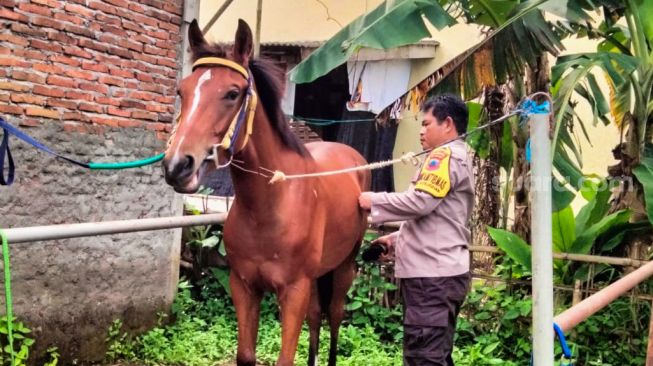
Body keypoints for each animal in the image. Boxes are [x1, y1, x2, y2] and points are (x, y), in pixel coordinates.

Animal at [162, 20, 370, 366]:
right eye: (182, 91)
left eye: (232, 93)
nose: (177, 165)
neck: (269, 208)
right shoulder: (244, 286)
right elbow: (246, 354)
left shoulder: (294, 291)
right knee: (317, 317)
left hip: (344, 266)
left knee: (335, 316)